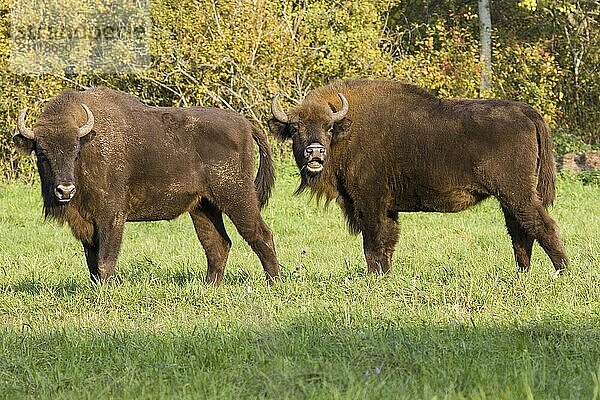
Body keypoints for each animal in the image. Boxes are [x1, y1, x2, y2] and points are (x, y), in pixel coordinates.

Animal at [13, 86, 282, 284]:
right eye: (41, 153)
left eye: (76, 151)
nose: (65, 190)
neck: (90, 142)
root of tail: (245, 124)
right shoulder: (86, 224)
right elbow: (91, 264)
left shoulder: (111, 216)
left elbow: (104, 261)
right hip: (203, 207)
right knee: (218, 244)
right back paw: (210, 286)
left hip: (237, 197)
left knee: (260, 234)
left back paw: (273, 282)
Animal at [270, 80, 568, 276]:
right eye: (294, 128)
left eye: (329, 127)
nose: (314, 151)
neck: (349, 130)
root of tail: (524, 111)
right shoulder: (387, 208)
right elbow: (388, 240)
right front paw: (385, 275)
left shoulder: (369, 201)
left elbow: (373, 242)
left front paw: (374, 276)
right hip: (508, 198)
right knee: (520, 231)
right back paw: (523, 274)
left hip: (516, 192)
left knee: (542, 226)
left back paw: (562, 272)